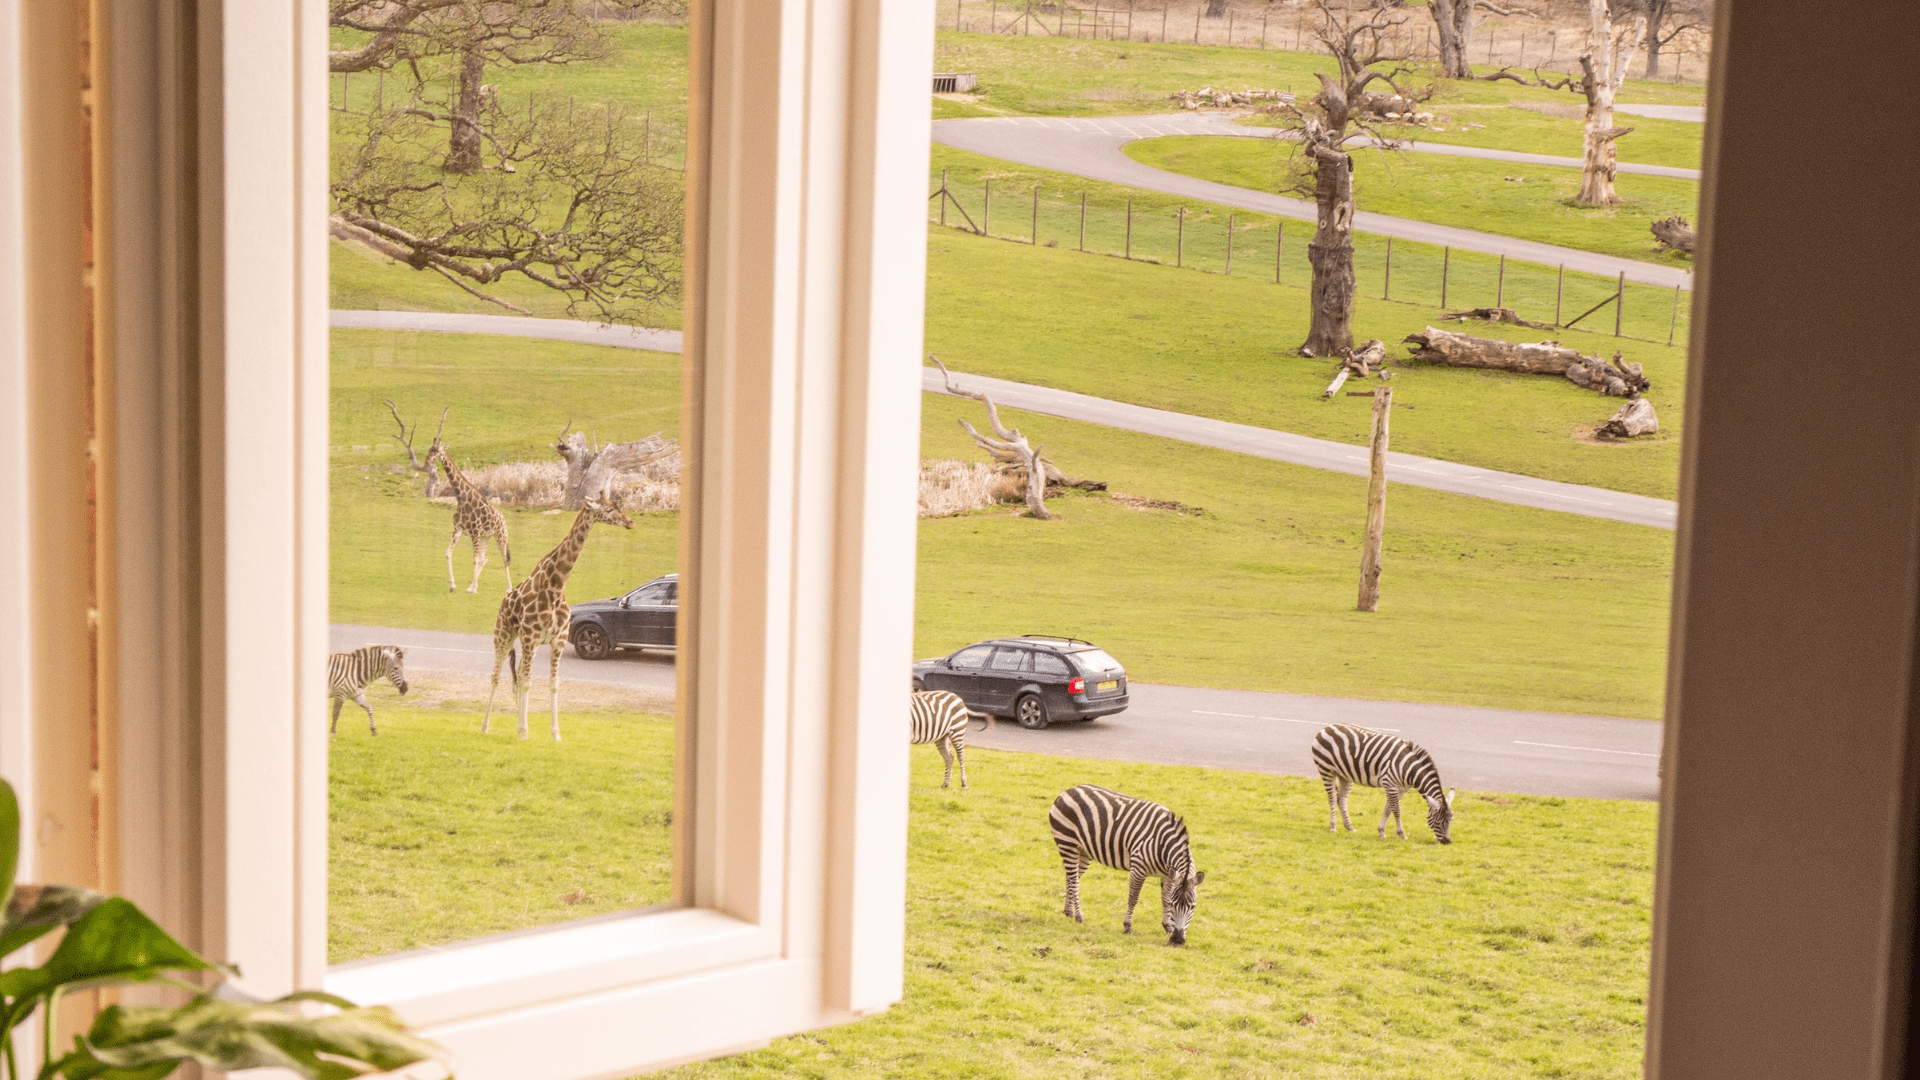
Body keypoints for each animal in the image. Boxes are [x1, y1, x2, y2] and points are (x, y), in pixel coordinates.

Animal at [426, 437, 514, 594]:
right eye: (430, 449)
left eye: (438, 450)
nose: (428, 459)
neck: (462, 499)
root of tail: (503, 519)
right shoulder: (458, 529)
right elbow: (448, 553)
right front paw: (453, 585)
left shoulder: (474, 532)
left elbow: (475, 559)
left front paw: (471, 589)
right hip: (486, 537)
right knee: (485, 558)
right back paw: (472, 585)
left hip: (501, 536)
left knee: (504, 559)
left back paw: (509, 588)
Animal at [482, 497, 635, 740]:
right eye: (609, 509)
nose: (630, 522)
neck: (555, 585)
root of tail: (503, 604)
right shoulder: (531, 637)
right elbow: (528, 682)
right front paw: (524, 733)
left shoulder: (558, 641)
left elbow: (553, 683)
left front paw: (554, 734)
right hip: (504, 636)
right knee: (497, 676)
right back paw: (485, 726)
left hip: (525, 643)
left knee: (520, 674)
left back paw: (516, 725)